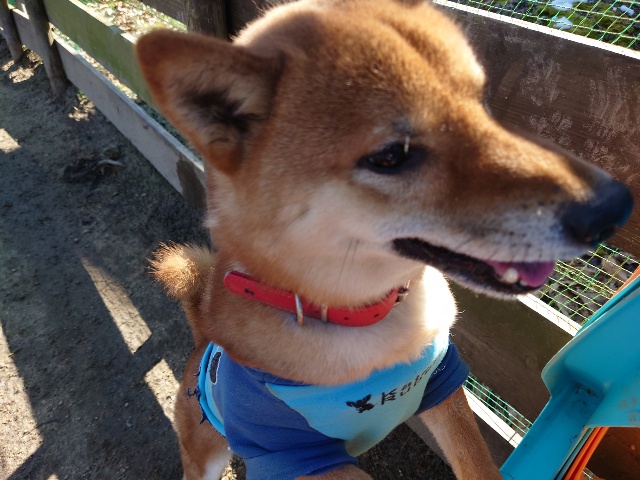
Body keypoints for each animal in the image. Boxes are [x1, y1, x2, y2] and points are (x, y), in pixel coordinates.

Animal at [136, 1, 633, 478]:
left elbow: (474, 458)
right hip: (206, 453)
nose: (613, 206)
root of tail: (200, 342)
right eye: (392, 156)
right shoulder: (288, 450)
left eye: (481, 106)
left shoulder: (441, 379)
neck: (371, 322)